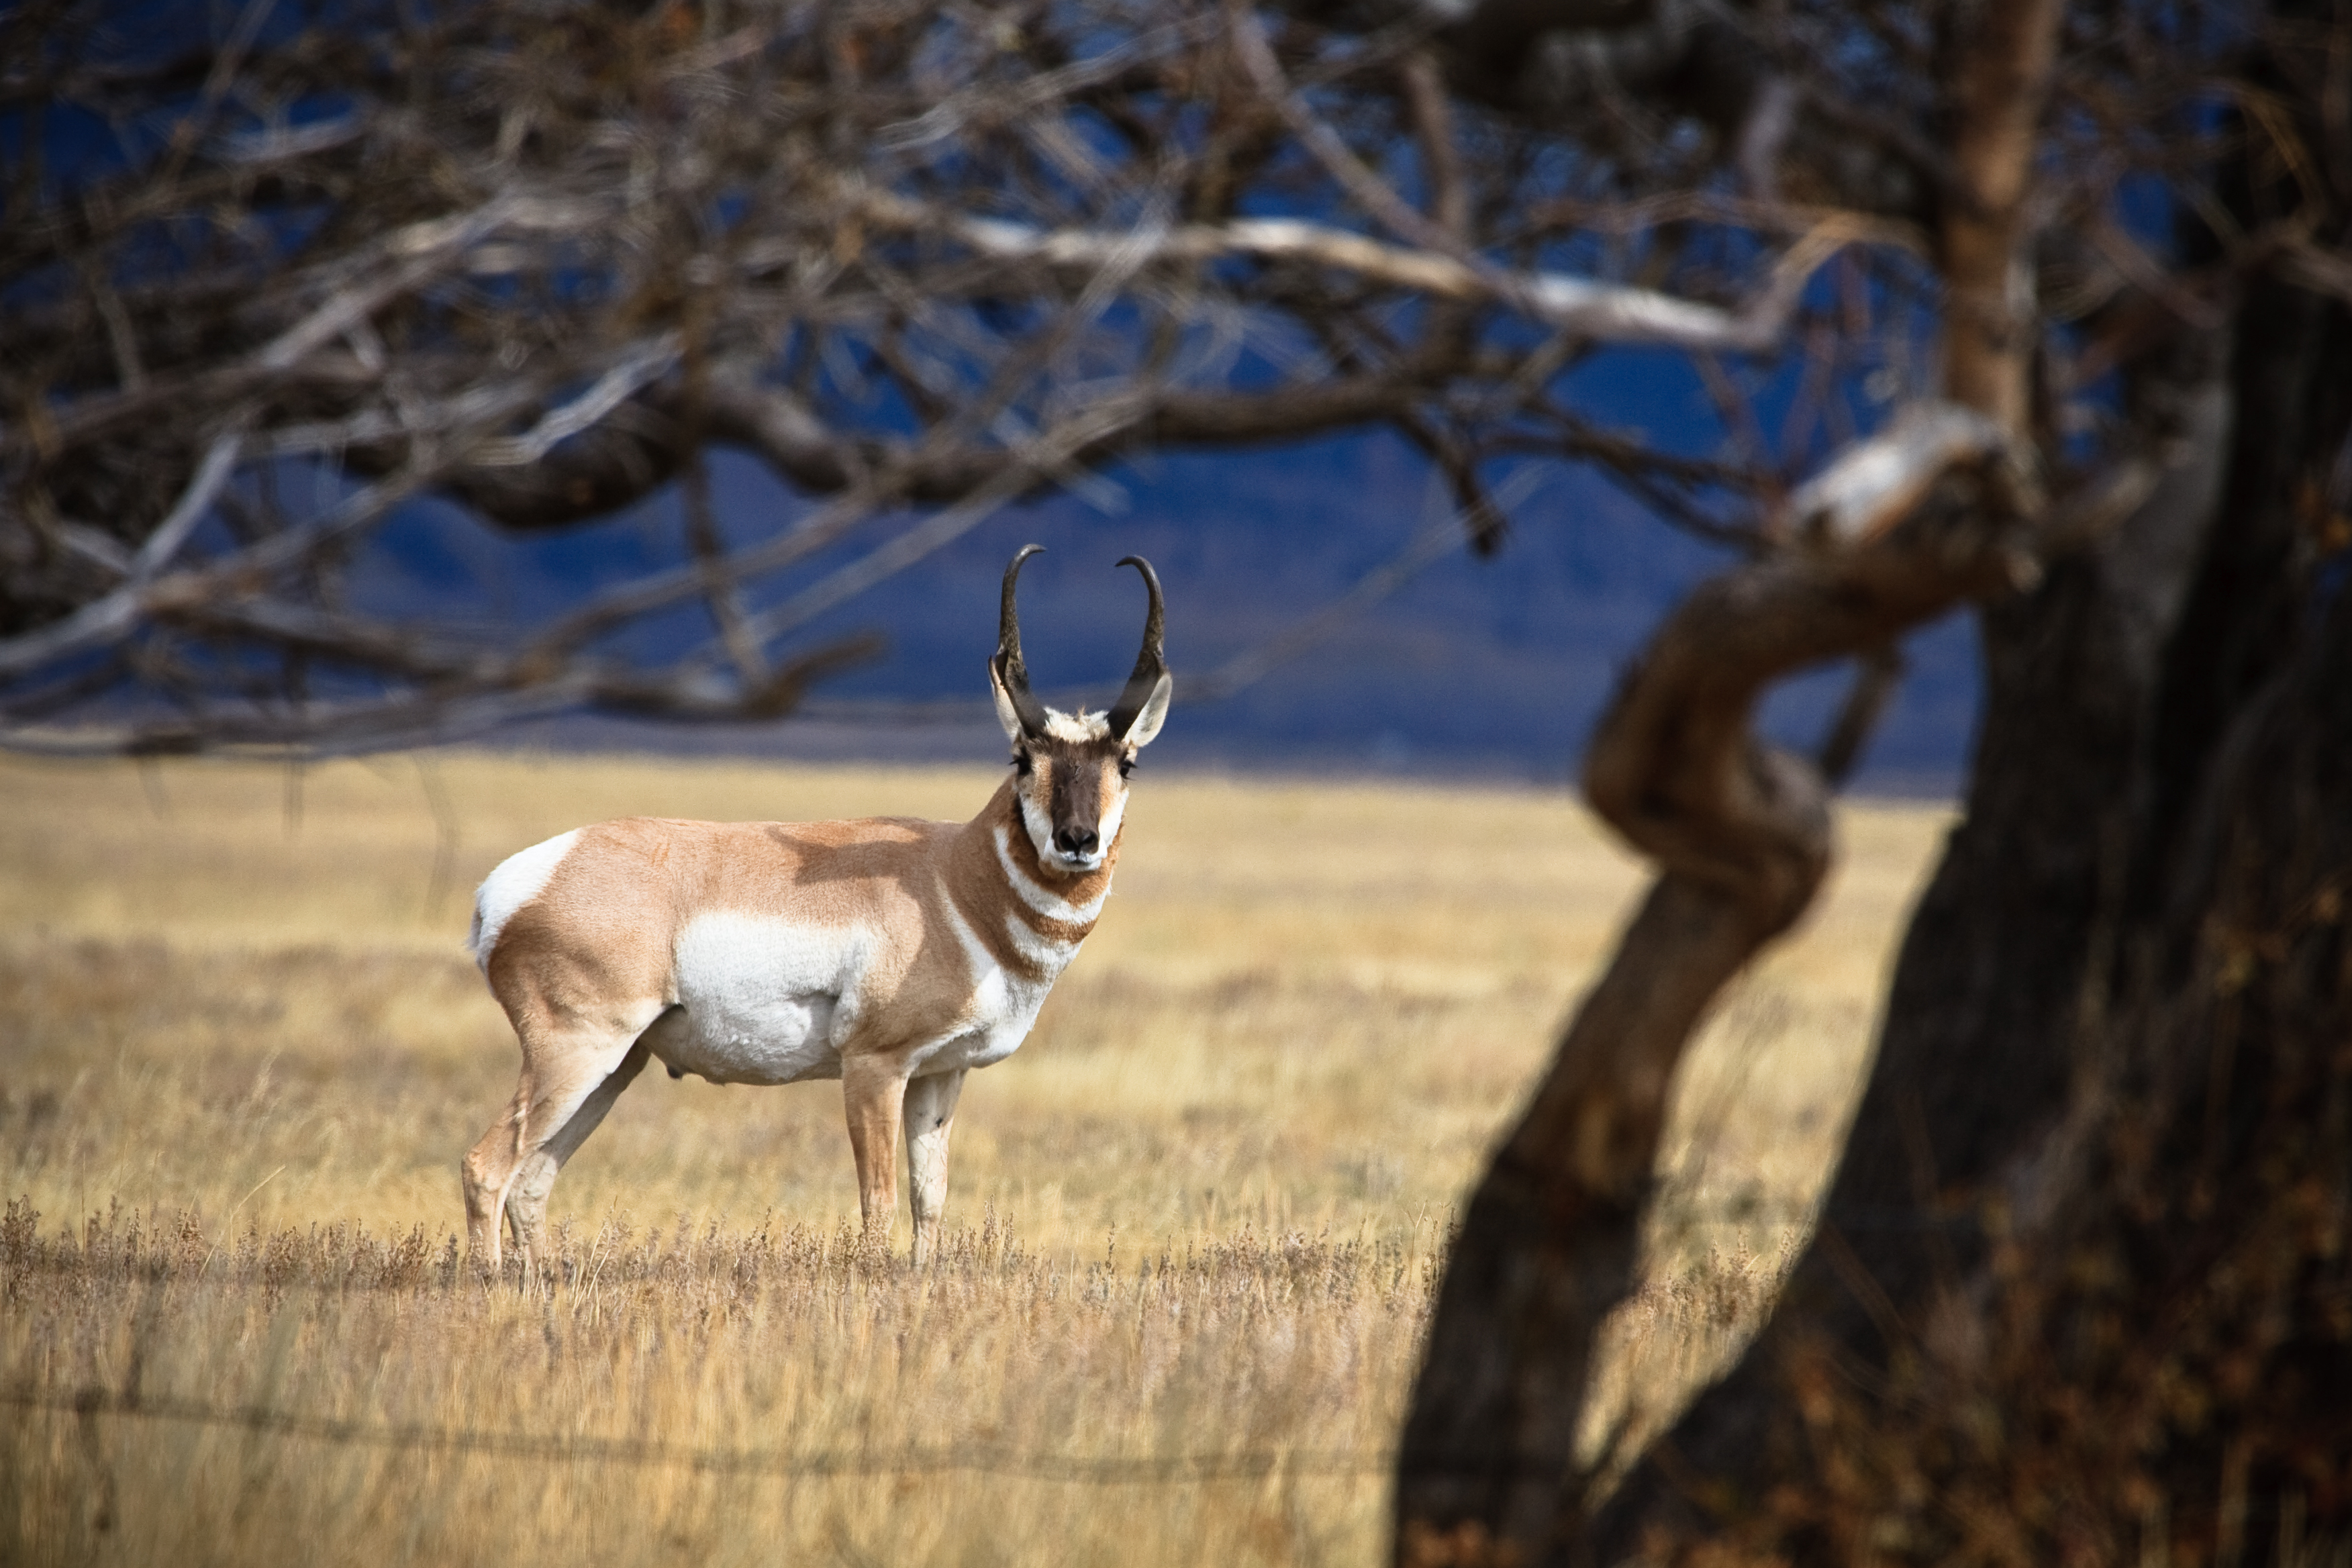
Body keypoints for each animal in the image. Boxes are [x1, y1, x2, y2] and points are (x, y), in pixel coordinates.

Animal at [458, 545, 1166, 1269]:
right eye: (1022, 756)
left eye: (1127, 763)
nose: (1076, 840)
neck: (954, 881)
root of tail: (515, 884)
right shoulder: (874, 1067)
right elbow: (879, 1205)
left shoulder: (941, 1075)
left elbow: (929, 1199)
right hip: (576, 1054)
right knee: (486, 1166)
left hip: (616, 1066)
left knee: (531, 1181)